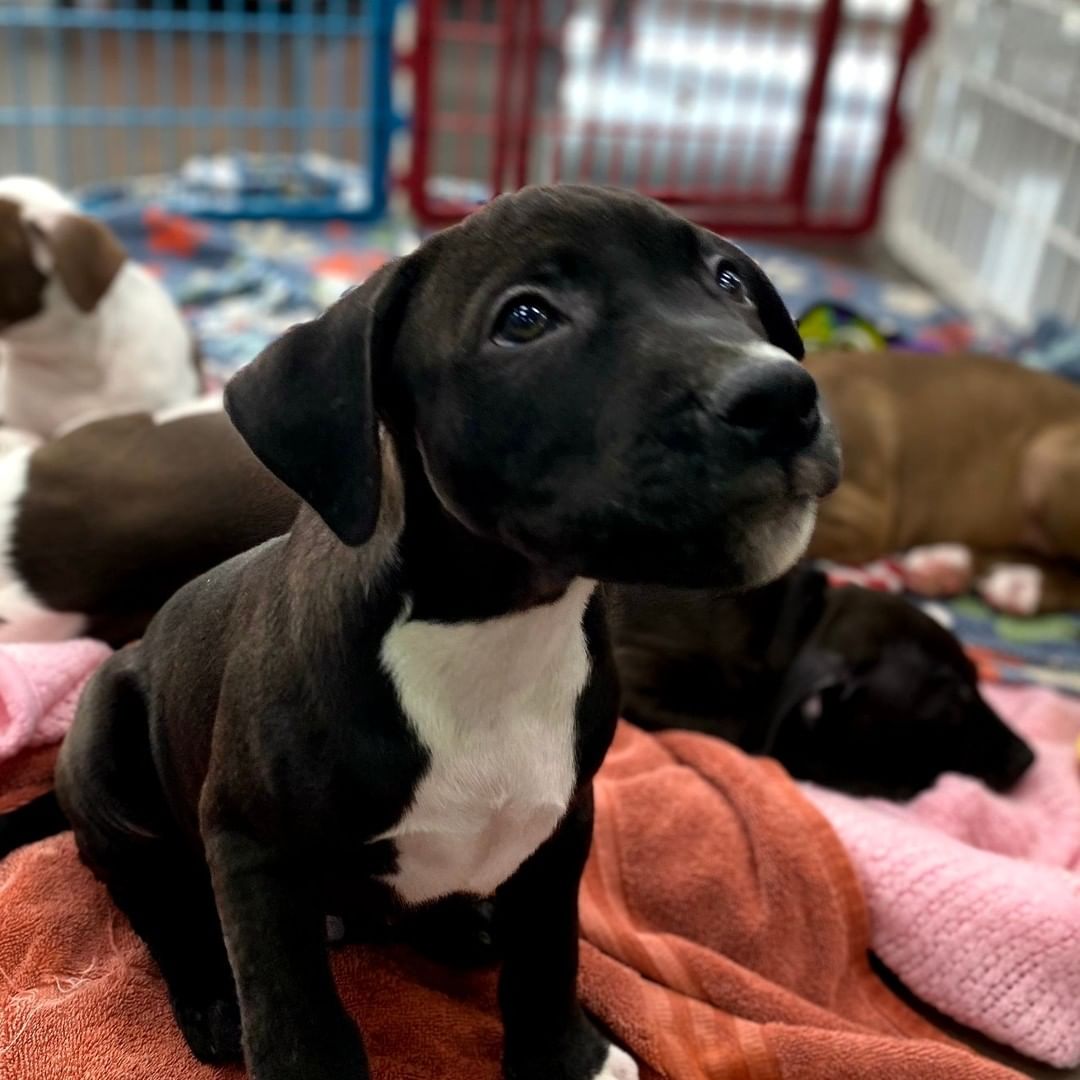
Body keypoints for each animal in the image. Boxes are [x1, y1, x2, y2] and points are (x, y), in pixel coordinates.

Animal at [609, 570, 1036, 799]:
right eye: (949, 710)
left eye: (978, 679)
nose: (1027, 759)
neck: (800, 625)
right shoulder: (632, 673)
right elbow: (753, 732)